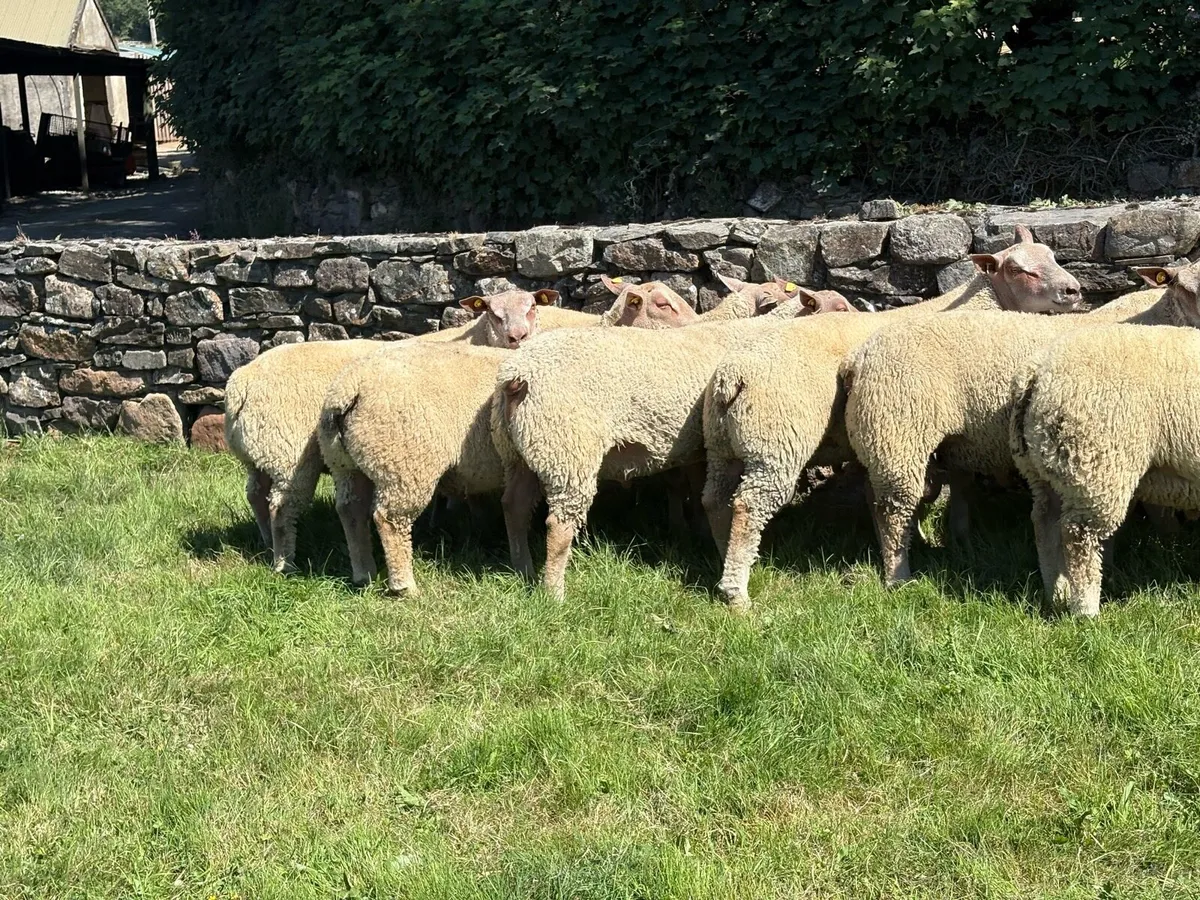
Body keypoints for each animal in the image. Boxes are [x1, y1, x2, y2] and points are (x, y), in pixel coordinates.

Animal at [491, 286, 857, 599]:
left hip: (520, 452)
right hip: (568, 449)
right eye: (840, 309)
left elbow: (699, 495)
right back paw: (554, 593)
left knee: (513, 505)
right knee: (558, 524)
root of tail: (518, 376)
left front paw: (699, 537)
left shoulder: (702, 448)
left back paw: (523, 569)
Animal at [704, 225, 1085, 609]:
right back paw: (737, 592)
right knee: (749, 505)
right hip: (777, 445)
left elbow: (952, 487)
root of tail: (731, 379)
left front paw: (955, 538)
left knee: (716, 500)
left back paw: (723, 563)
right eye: (1019, 270)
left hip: (723, 447)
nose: (1073, 290)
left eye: (1052, 256)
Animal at [1010, 262, 1200, 616]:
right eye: (1183, 288)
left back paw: (1055, 593)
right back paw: (1086, 611)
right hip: (1099, 463)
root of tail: (1039, 372)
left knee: (1045, 522)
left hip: (1044, 464)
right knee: (1079, 536)